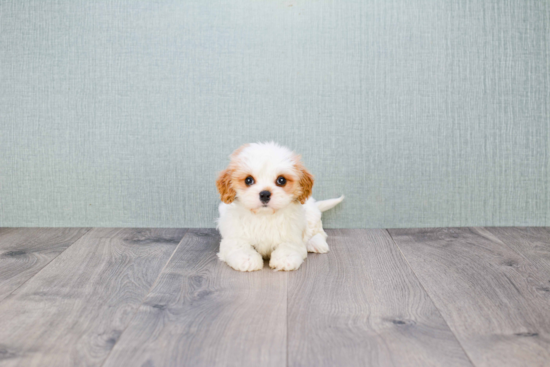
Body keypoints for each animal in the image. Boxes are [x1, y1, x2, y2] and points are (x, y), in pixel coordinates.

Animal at [217, 142, 342, 272]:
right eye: (248, 180)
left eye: (281, 180)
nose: (265, 194)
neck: (264, 216)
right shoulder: (234, 236)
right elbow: (239, 246)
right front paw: (247, 259)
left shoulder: (292, 235)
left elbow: (288, 246)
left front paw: (285, 259)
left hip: (312, 215)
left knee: (319, 233)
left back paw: (316, 243)